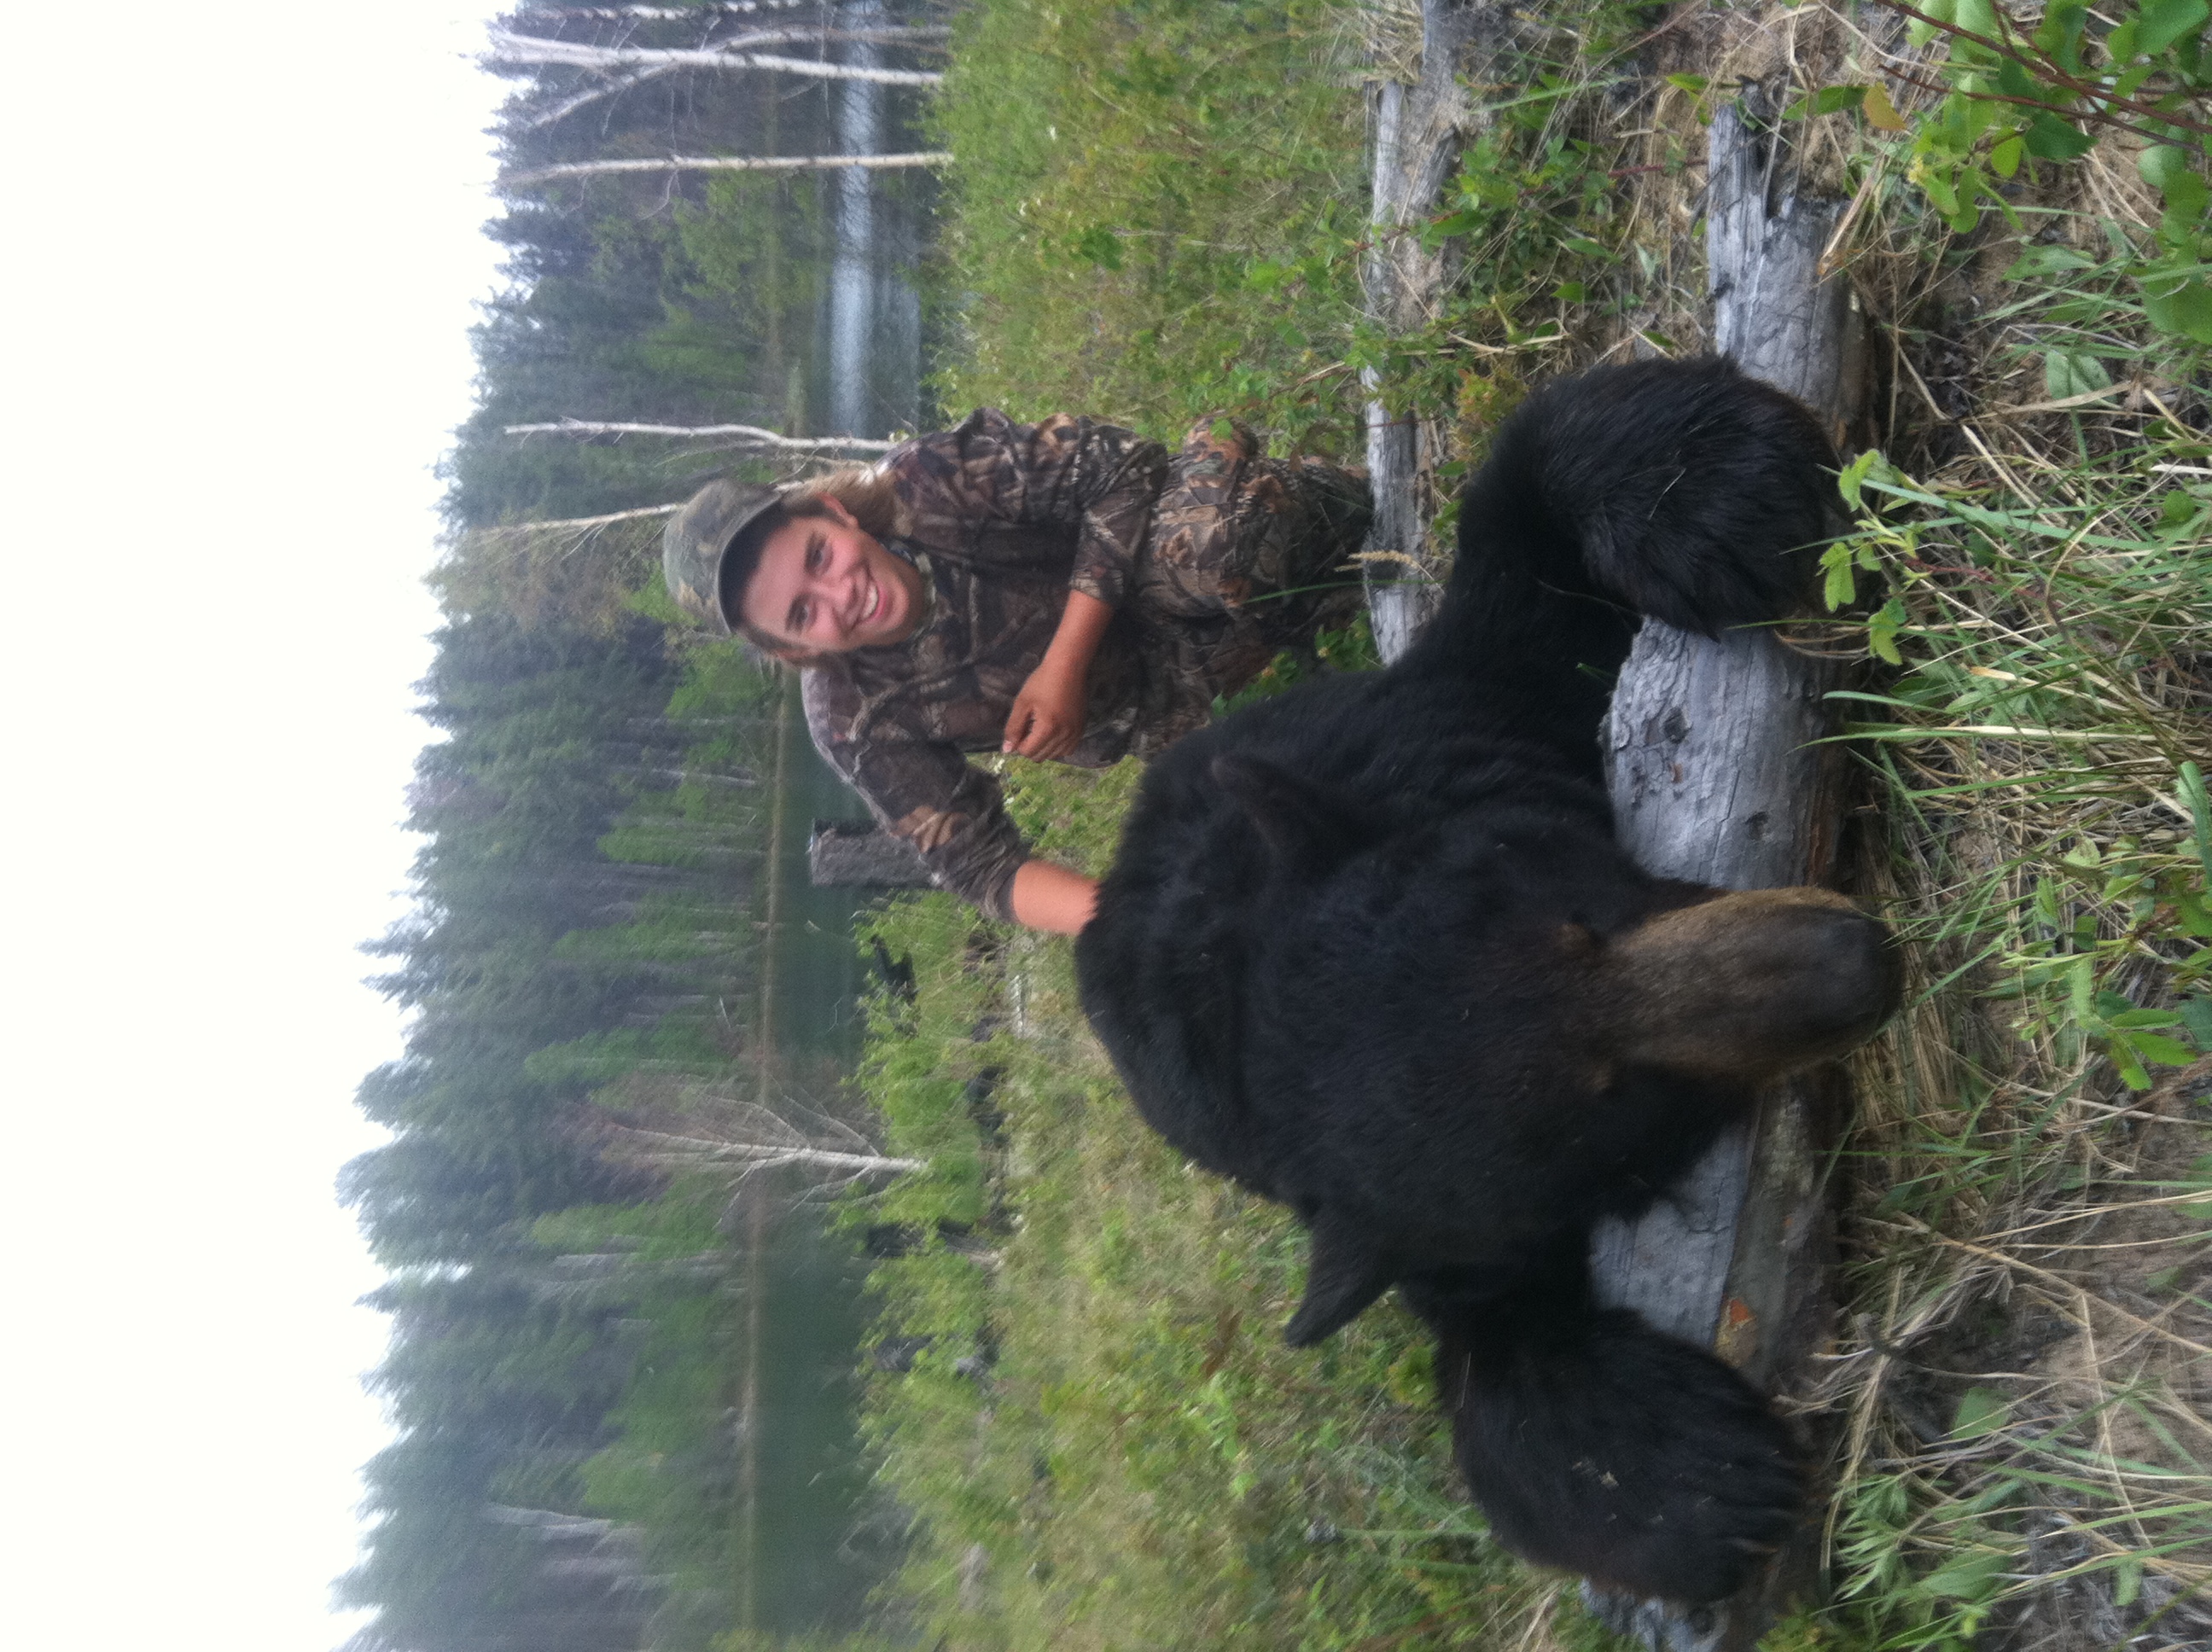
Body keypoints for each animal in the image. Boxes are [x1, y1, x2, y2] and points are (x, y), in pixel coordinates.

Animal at [1072, 356, 1902, 1604]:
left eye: (1575, 917)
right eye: (1617, 1106)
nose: (1855, 964)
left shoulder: (1432, 723)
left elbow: (1526, 546)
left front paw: (1730, 498)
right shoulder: (1405, 1219)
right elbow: (1490, 1358)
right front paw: (1701, 1480)